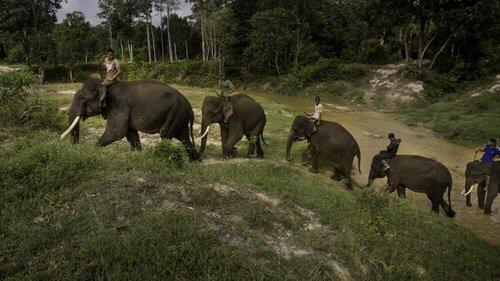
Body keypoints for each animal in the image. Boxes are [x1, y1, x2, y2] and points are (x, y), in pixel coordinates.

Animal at [59, 77, 198, 161]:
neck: (105, 84)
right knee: (183, 137)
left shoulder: (119, 106)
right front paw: (138, 155)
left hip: (175, 113)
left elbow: (116, 132)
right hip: (180, 116)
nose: (74, 147)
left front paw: (92, 151)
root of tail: (190, 108)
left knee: (165, 134)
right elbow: (130, 133)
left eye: (82, 99)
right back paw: (193, 161)